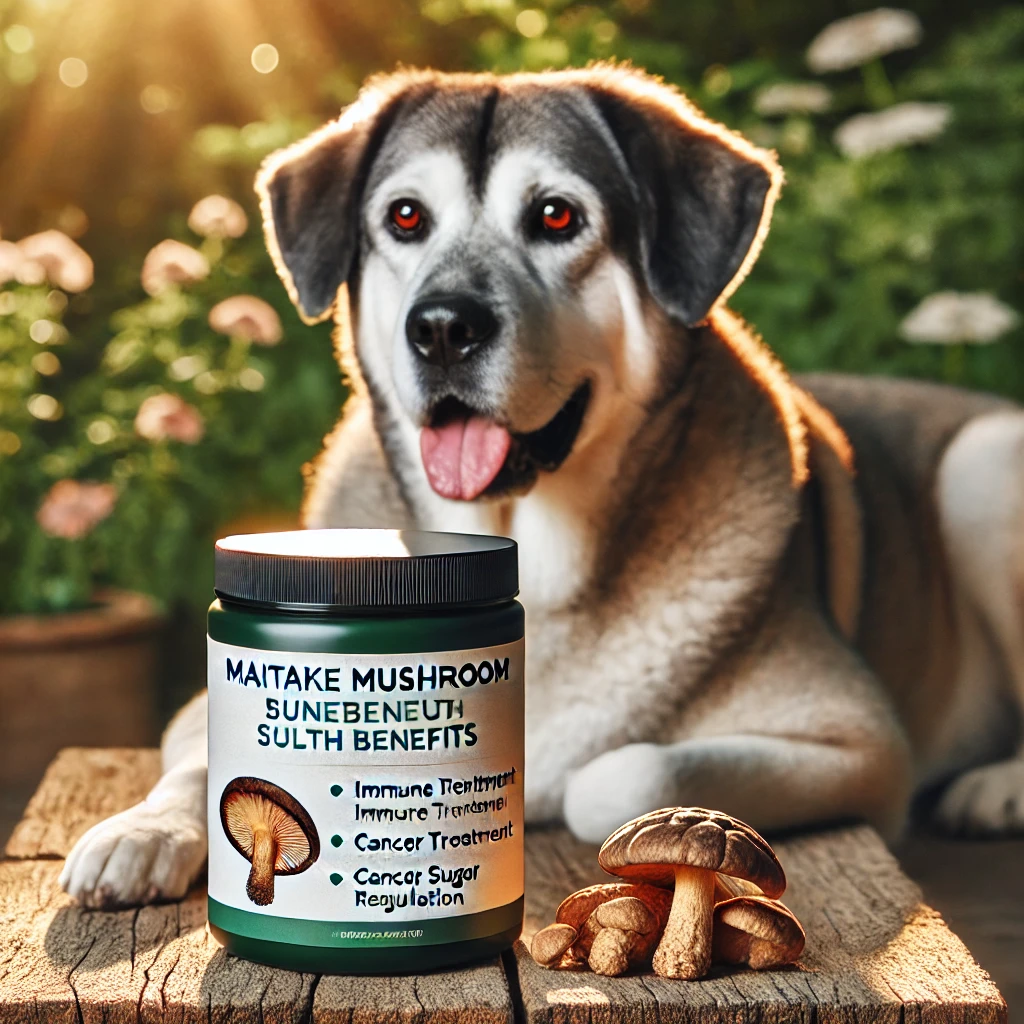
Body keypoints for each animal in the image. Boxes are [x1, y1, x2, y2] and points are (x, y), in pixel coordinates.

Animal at [61, 68, 1024, 909]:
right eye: (405, 217)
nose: (442, 327)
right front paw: (143, 832)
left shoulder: (863, 743)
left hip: (983, 465)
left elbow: (620, 774)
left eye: (557, 215)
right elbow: (203, 754)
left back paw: (996, 789)